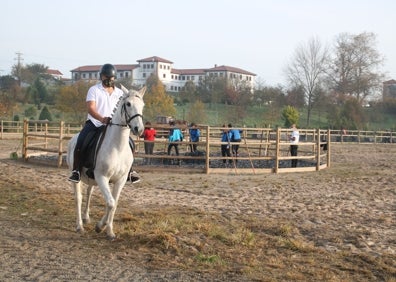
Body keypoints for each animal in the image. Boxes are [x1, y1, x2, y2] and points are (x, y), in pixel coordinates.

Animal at [66, 85, 145, 239]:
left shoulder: (120, 180)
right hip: (77, 177)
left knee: (89, 193)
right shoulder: (102, 177)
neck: (117, 147)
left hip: (91, 179)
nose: (139, 129)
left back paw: (86, 218)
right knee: (78, 198)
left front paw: (108, 230)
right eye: (128, 104)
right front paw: (101, 226)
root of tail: (73, 139)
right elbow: (110, 203)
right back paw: (79, 226)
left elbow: (114, 204)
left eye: (142, 105)